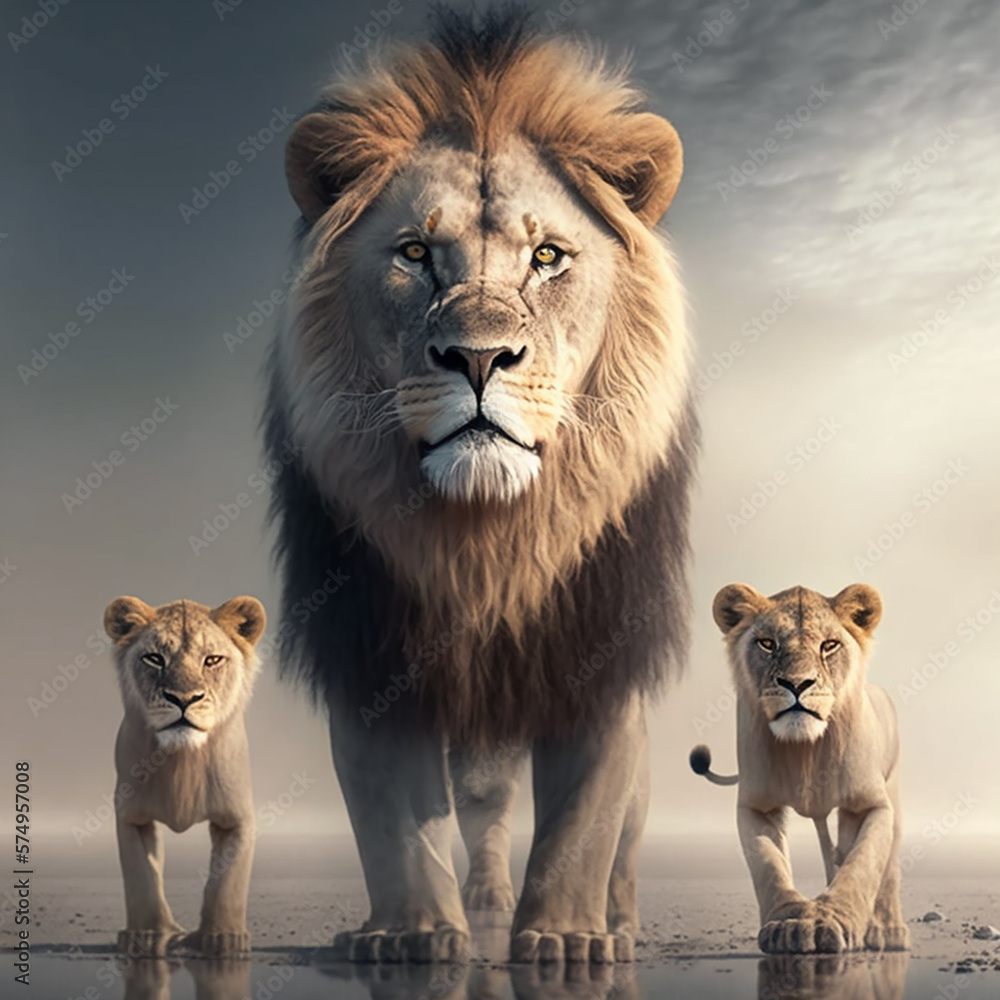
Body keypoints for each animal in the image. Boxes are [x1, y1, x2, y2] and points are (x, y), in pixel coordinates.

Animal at [103, 594, 266, 958]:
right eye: (154, 658)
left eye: (212, 660)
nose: (183, 699)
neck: (182, 762)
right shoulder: (130, 817)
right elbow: (141, 878)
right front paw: (147, 935)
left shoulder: (238, 819)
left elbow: (228, 883)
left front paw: (223, 939)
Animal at [263, 7, 696, 964]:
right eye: (415, 253)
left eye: (548, 256)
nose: (478, 357)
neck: (486, 536)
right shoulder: (371, 643)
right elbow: (393, 813)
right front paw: (413, 933)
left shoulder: (597, 642)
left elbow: (587, 814)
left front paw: (567, 939)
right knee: (487, 807)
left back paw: (608, 920)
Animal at [690, 583, 909, 955]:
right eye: (767, 643)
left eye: (829, 645)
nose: (796, 683)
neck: (806, 751)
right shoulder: (756, 806)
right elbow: (770, 867)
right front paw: (790, 923)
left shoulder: (869, 805)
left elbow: (860, 866)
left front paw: (829, 922)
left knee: (885, 866)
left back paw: (888, 932)